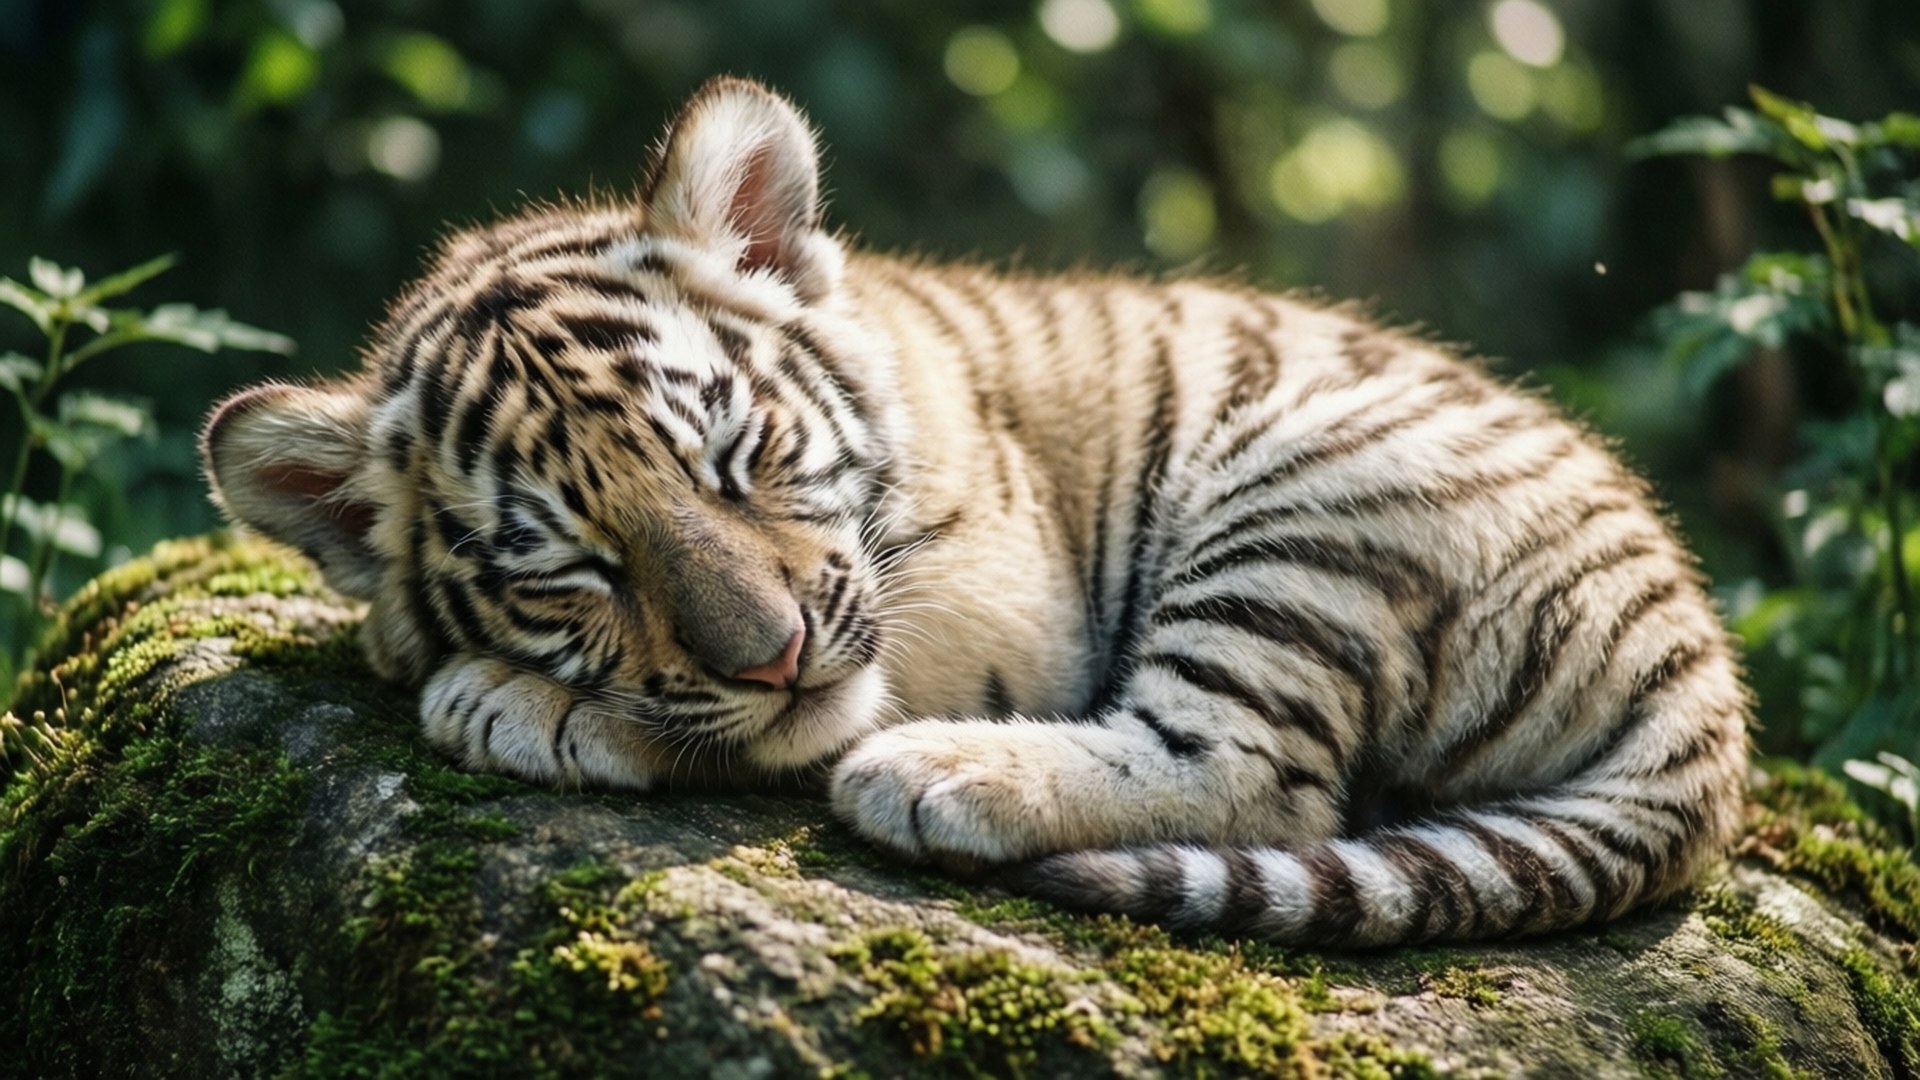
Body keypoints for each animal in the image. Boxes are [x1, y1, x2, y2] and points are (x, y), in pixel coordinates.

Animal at [201, 76, 1750, 947]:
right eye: (576, 568)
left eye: (736, 456)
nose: (771, 655)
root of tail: (1705, 674)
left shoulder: (995, 601)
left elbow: (795, 715)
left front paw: (515, 705)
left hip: (1308, 500)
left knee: (1259, 773)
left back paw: (938, 773)